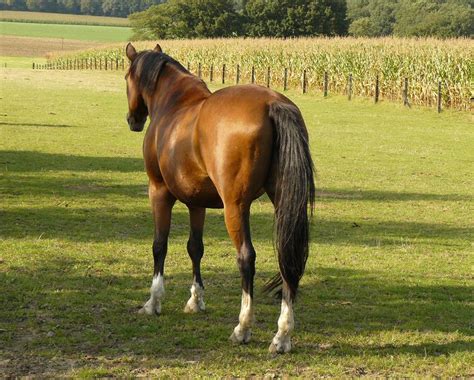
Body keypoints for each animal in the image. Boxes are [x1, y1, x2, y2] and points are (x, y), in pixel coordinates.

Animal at [125, 42, 314, 354]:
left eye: (127, 78)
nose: (133, 120)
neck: (174, 104)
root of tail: (272, 103)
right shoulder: (196, 202)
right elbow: (195, 247)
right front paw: (195, 300)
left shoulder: (159, 191)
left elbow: (159, 245)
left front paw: (153, 302)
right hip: (283, 202)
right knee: (288, 256)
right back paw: (282, 336)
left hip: (235, 207)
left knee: (246, 258)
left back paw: (243, 328)